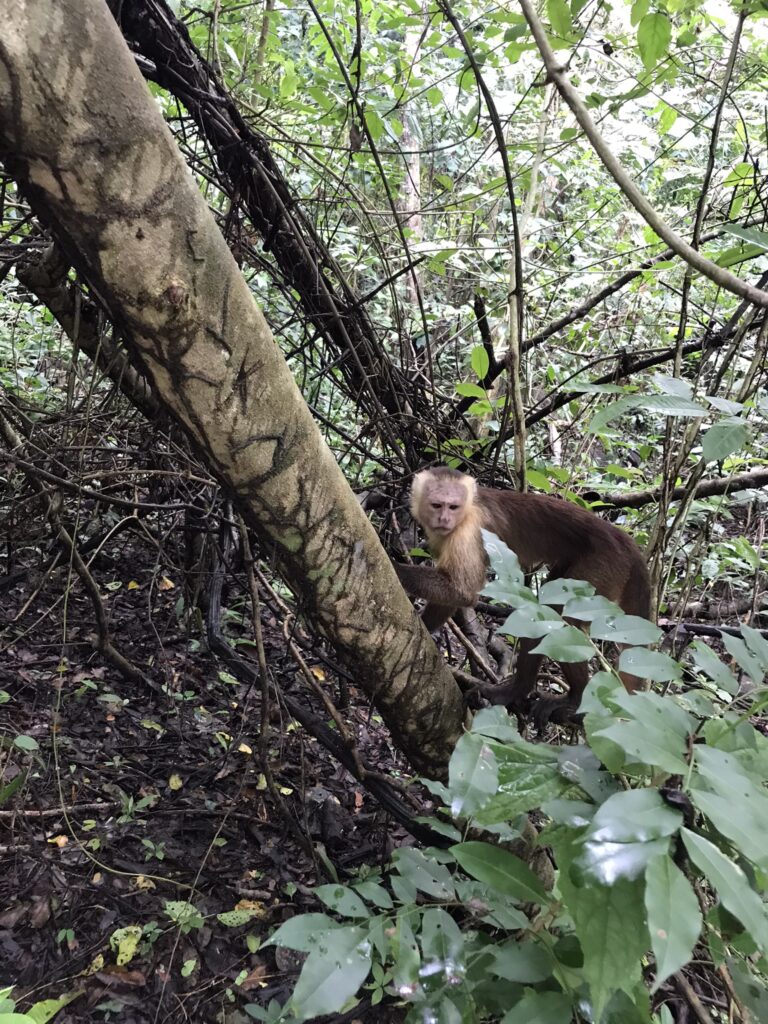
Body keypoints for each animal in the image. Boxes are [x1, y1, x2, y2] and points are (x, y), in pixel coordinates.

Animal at [393, 468, 651, 724]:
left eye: (453, 507)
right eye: (437, 505)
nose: (445, 519)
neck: (466, 511)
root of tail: (625, 541)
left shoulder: (469, 531)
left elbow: (463, 591)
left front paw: (397, 569)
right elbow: (451, 599)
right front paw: (426, 626)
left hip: (605, 564)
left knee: (565, 620)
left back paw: (575, 699)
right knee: (544, 609)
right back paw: (516, 690)